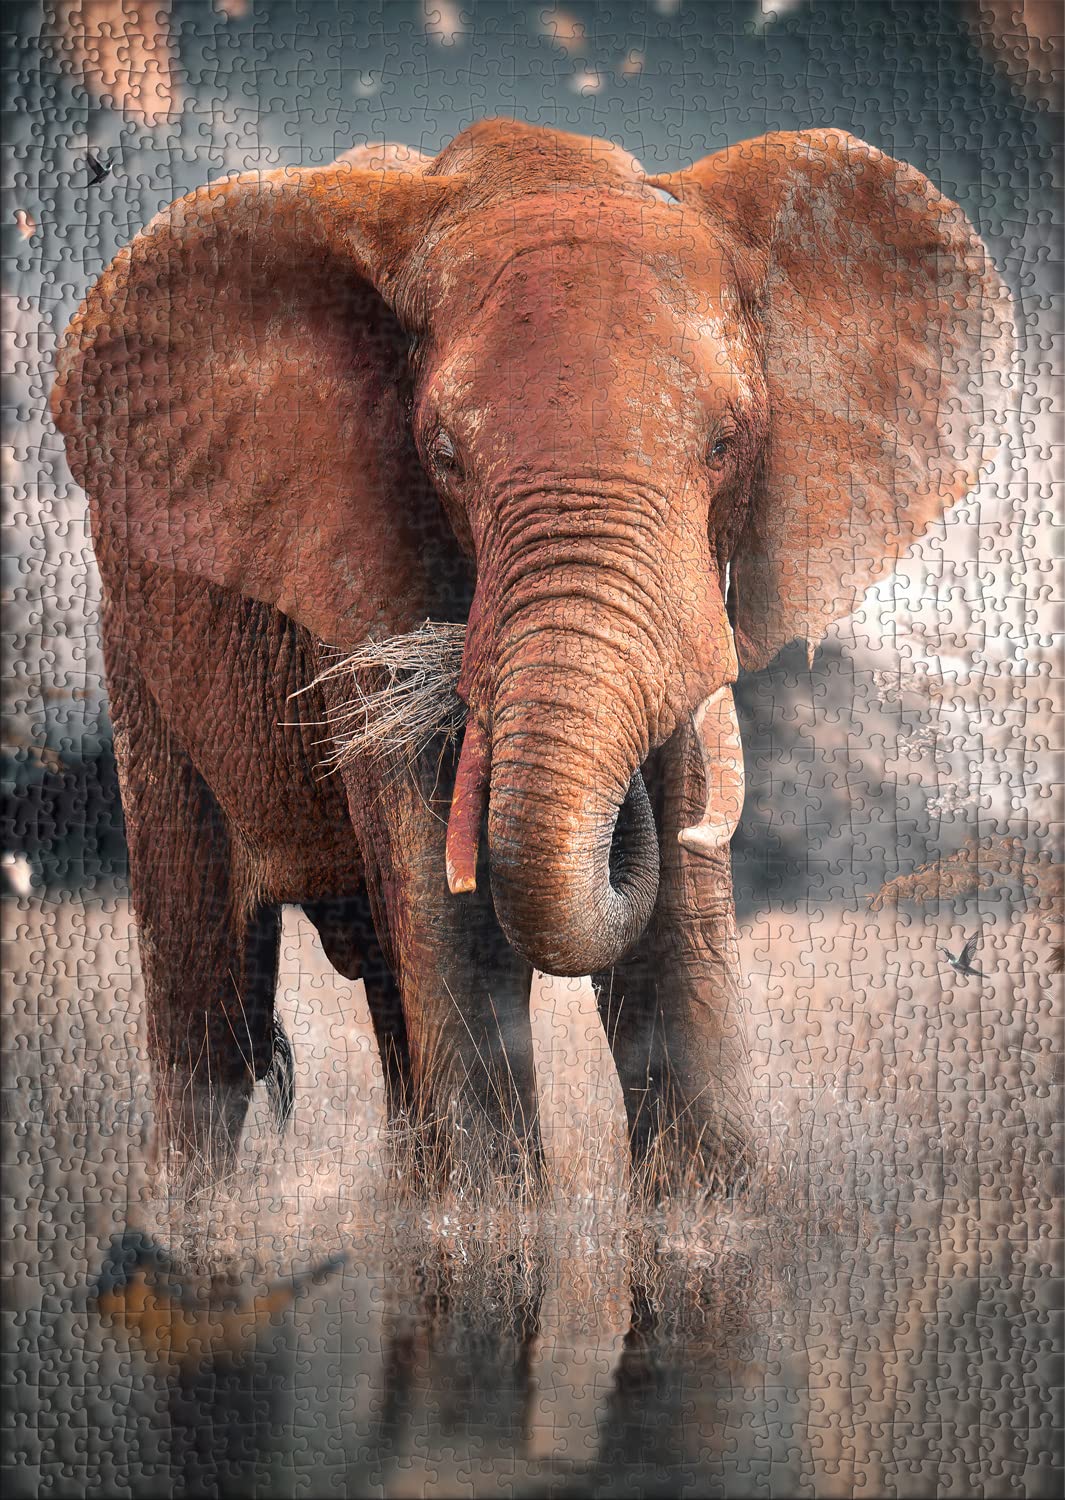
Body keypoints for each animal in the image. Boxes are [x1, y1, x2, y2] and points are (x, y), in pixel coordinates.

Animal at [51, 119, 1010, 1192]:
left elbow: (675, 924)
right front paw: (488, 1218)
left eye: (727, 443)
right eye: (441, 456)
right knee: (210, 994)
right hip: (136, 650)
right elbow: (453, 917)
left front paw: (704, 1213)